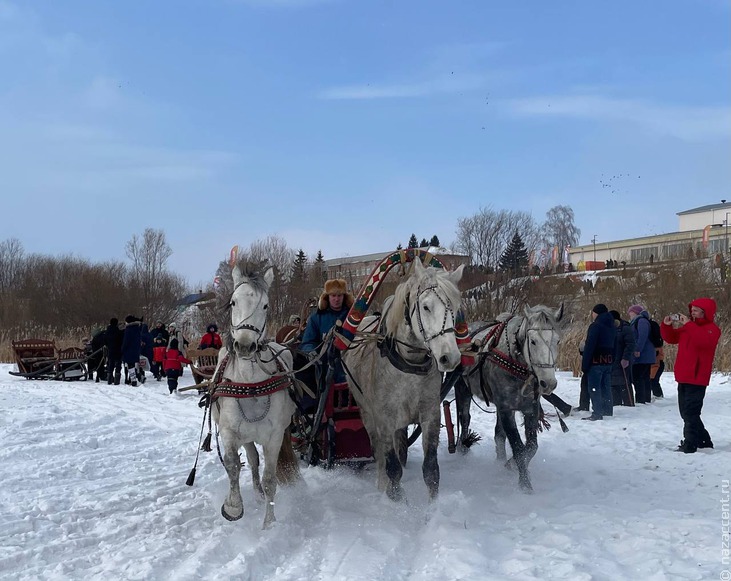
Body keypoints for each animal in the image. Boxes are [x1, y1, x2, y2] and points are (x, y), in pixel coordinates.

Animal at [212, 260, 298, 528]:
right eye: (233, 302)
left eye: (265, 305)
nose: (244, 346)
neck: (250, 384)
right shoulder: (229, 432)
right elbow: (232, 465)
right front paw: (233, 505)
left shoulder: (274, 437)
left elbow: (271, 479)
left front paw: (269, 524)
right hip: (247, 435)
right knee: (251, 461)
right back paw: (257, 494)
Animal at [342, 256, 466, 500]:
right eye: (426, 307)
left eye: (455, 309)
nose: (450, 357)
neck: (409, 365)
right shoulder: (384, 418)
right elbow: (392, 468)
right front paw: (397, 501)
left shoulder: (430, 414)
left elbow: (431, 470)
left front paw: (433, 507)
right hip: (367, 413)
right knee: (379, 452)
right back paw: (381, 483)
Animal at [460, 306, 564, 492]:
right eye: (533, 341)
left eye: (557, 341)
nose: (548, 383)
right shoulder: (507, 409)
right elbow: (518, 446)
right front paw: (525, 484)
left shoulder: (530, 409)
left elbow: (531, 447)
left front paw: (511, 465)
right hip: (463, 389)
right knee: (464, 418)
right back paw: (463, 447)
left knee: (498, 434)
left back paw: (500, 459)